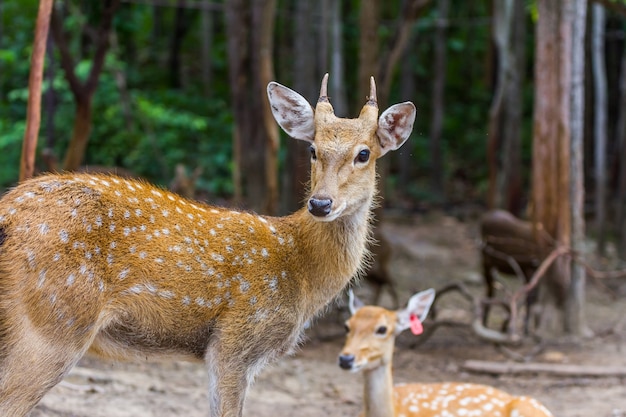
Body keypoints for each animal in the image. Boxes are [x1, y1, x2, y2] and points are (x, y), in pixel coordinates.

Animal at [0, 75, 414, 416]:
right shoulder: (233, 341)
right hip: (54, 323)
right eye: (312, 149)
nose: (321, 203)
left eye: (364, 154)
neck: (301, 270)